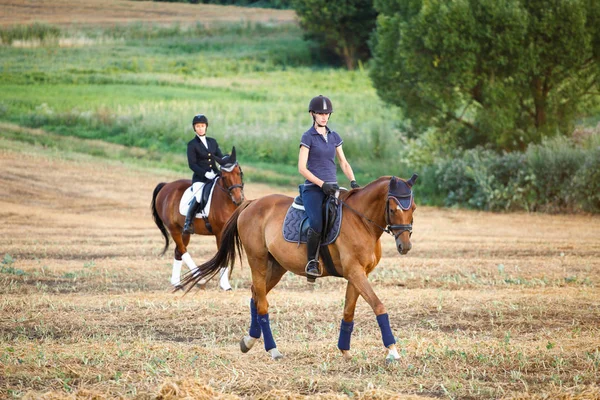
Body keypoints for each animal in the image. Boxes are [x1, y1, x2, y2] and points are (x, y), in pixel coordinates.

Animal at [152, 147, 244, 290]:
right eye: (224, 177)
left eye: (239, 172)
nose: (238, 199)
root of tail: (166, 186)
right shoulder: (220, 233)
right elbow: (223, 256)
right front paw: (225, 285)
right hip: (174, 229)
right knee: (182, 250)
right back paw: (199, 278)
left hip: (185, 231)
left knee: (178, 251)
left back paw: (177, 283)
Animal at [180, 173, 420, 360]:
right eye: (393, 208)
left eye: (414, 208)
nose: (405, 246)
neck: (362, 222)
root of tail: (252, 203)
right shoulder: (355, 272)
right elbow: (379, 306)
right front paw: (392, 351)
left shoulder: (359, 274)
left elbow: (349, 311)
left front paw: (345, 350)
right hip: (258, 260)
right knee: (262, 302)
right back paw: (273, 350)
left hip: (277, 266)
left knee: (256, 295)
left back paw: (249, 341)